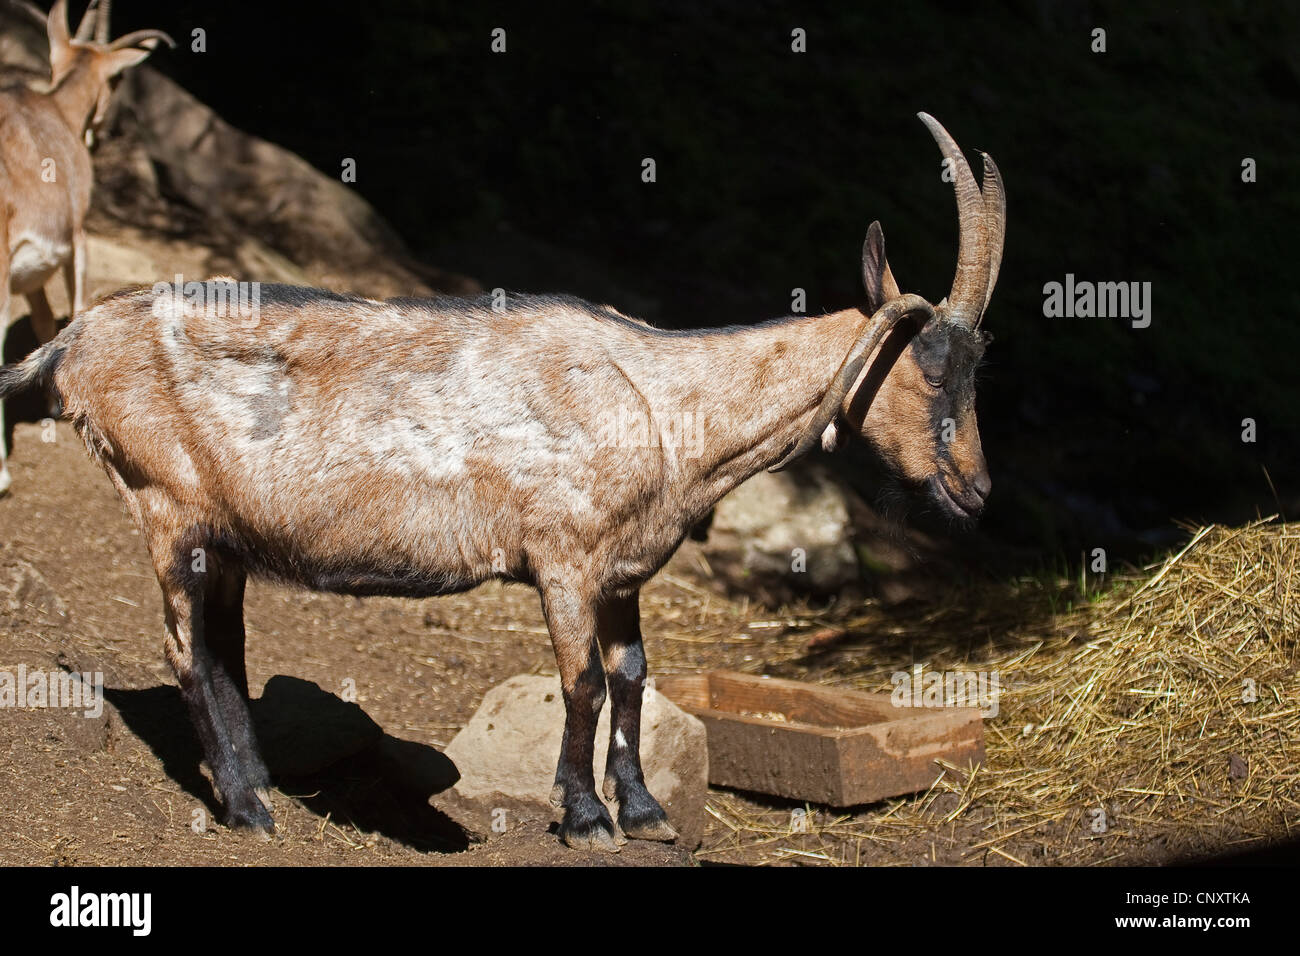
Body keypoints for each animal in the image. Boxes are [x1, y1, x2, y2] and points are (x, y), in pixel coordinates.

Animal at [0, 113, 1003, 853]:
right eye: (932, 368)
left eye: (977, 362)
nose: (978, 493)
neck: (662, 402)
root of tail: (69, 345)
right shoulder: (561, 558)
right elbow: (583, 683)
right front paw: (587, 818)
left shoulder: (623, 572)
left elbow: (633, 676)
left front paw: (645, 813)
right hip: (163, 505)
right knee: (183, 653)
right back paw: (245, 810)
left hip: (224, 534)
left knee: (223, 652)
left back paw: (258, 791)